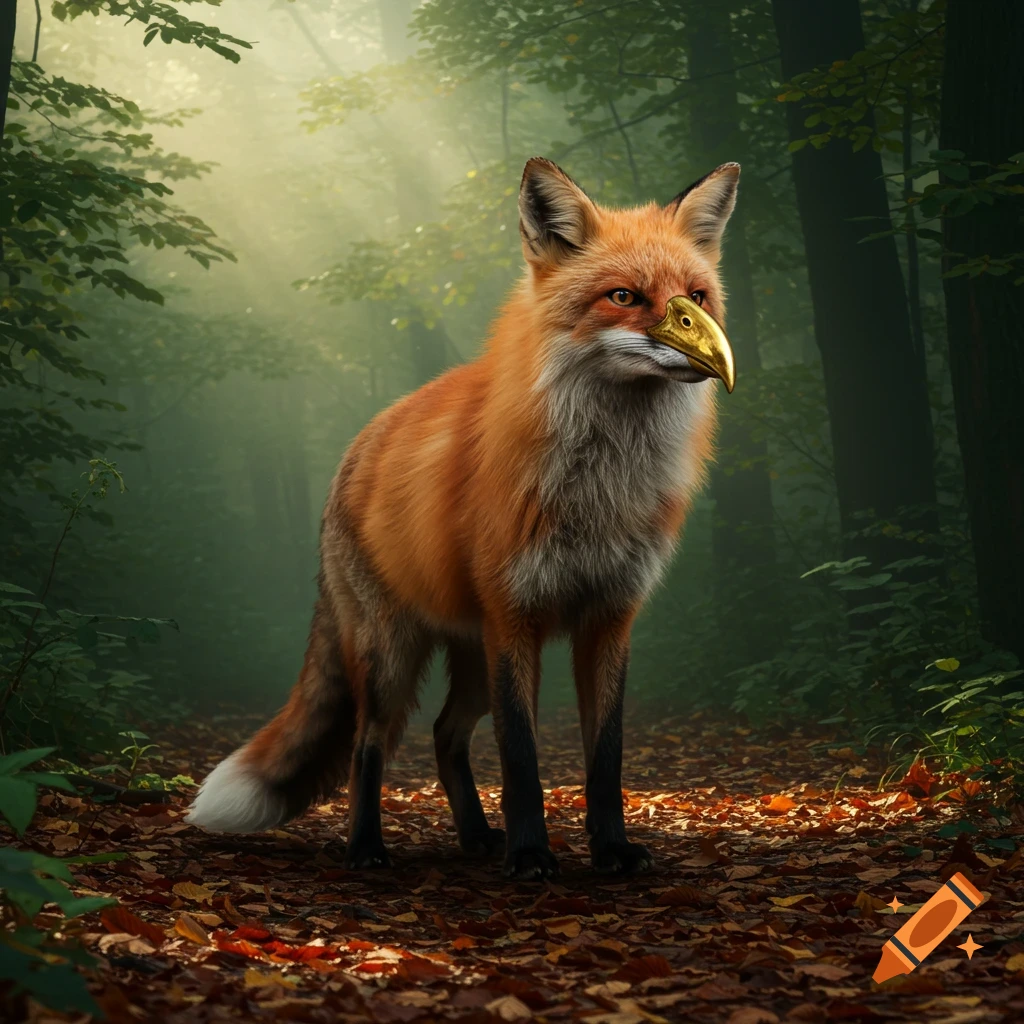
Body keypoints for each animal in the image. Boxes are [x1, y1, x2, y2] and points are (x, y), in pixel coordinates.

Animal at [186, 156, 739, 879]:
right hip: (392, 657)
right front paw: (531, 856)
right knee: (370, 745)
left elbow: (606, 757)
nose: (713, 349)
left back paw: (476, 837)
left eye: (697, 297)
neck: (598, 493)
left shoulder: (609, 618)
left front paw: (611, 850)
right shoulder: (515, 618)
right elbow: (522, 758)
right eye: (624, 297)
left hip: (471, 659)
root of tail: (354, 452)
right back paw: (367, 848)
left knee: (445, 735)